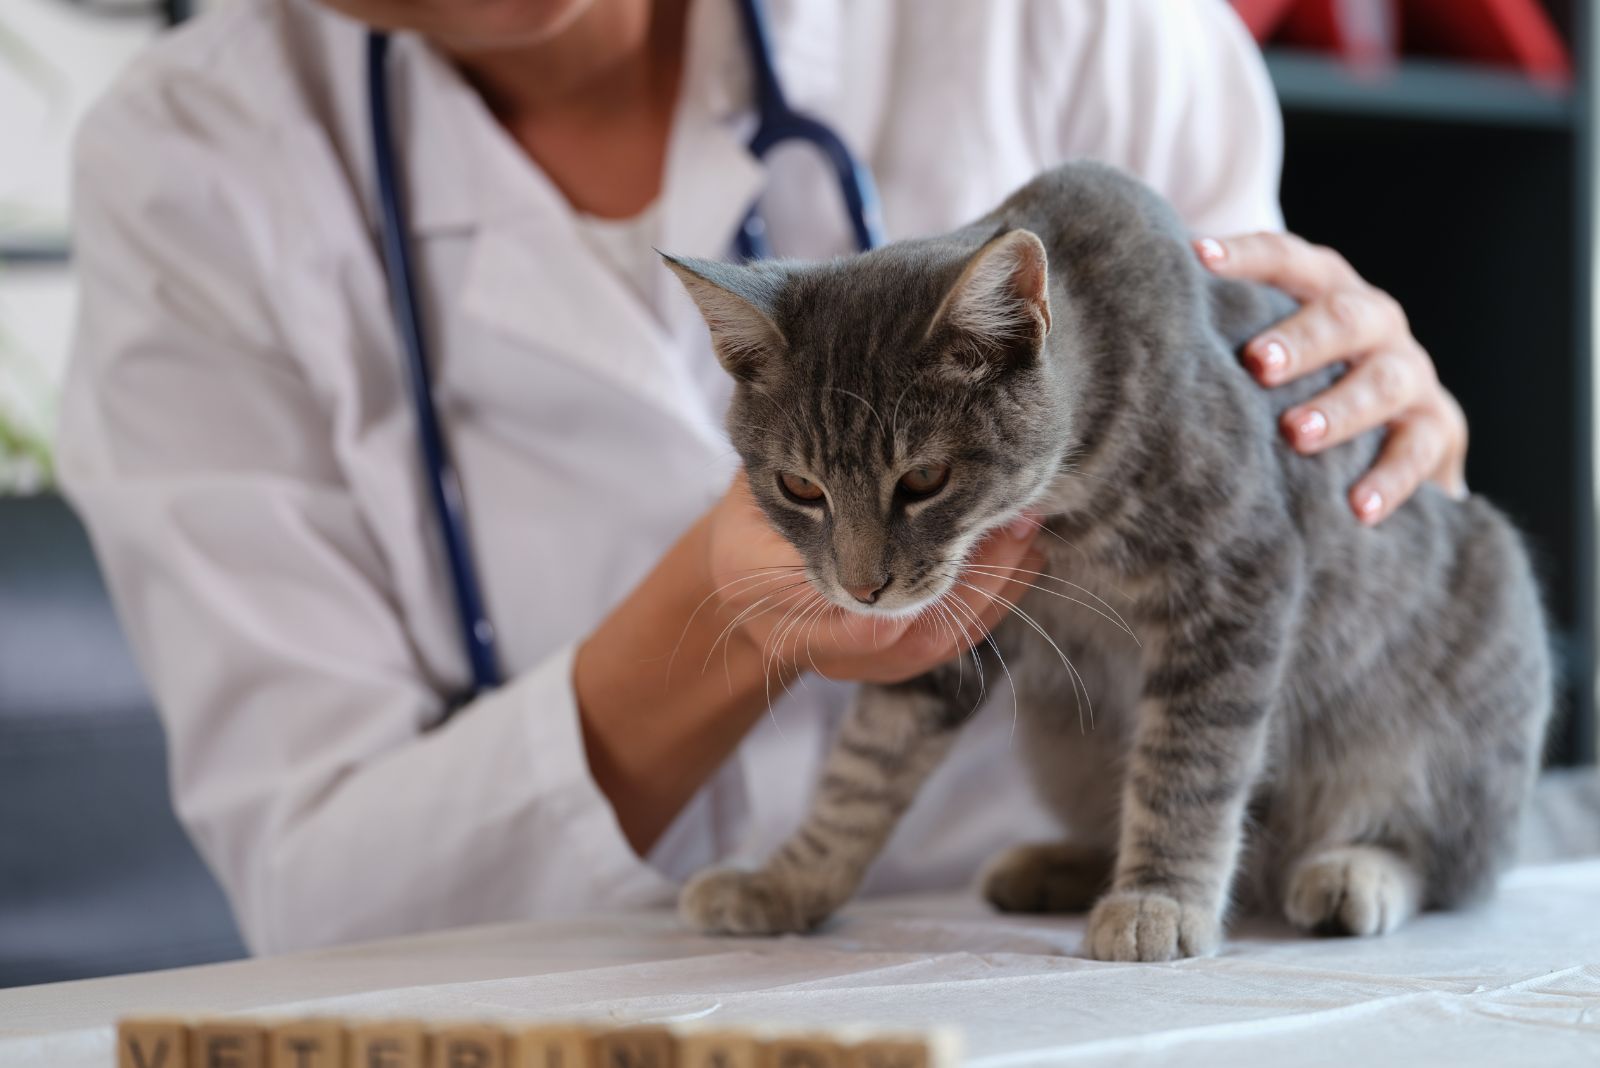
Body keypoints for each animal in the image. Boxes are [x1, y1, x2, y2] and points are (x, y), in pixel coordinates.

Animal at [659, 163, 1548, 965]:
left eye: (923, 480)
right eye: (799, 487)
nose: (861, 587)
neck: (1067, 501)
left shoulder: (1237, 576)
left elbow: (1188, 763)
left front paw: (1161, 898)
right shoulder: (953, 633)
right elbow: (864, 768)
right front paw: (787, 883)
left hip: (1461, 695)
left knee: (1455, 859)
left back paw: (1355, 870)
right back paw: (1058, 865)